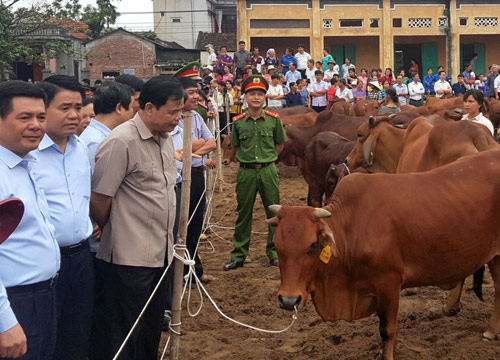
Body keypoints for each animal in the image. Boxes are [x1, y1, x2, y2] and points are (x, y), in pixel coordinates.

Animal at [270, 150, 500, 358]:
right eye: (277, 246)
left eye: (312, 245)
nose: (288, 301)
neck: (352, 224)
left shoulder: (389, 283)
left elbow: (387, 330)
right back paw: (491, 331)